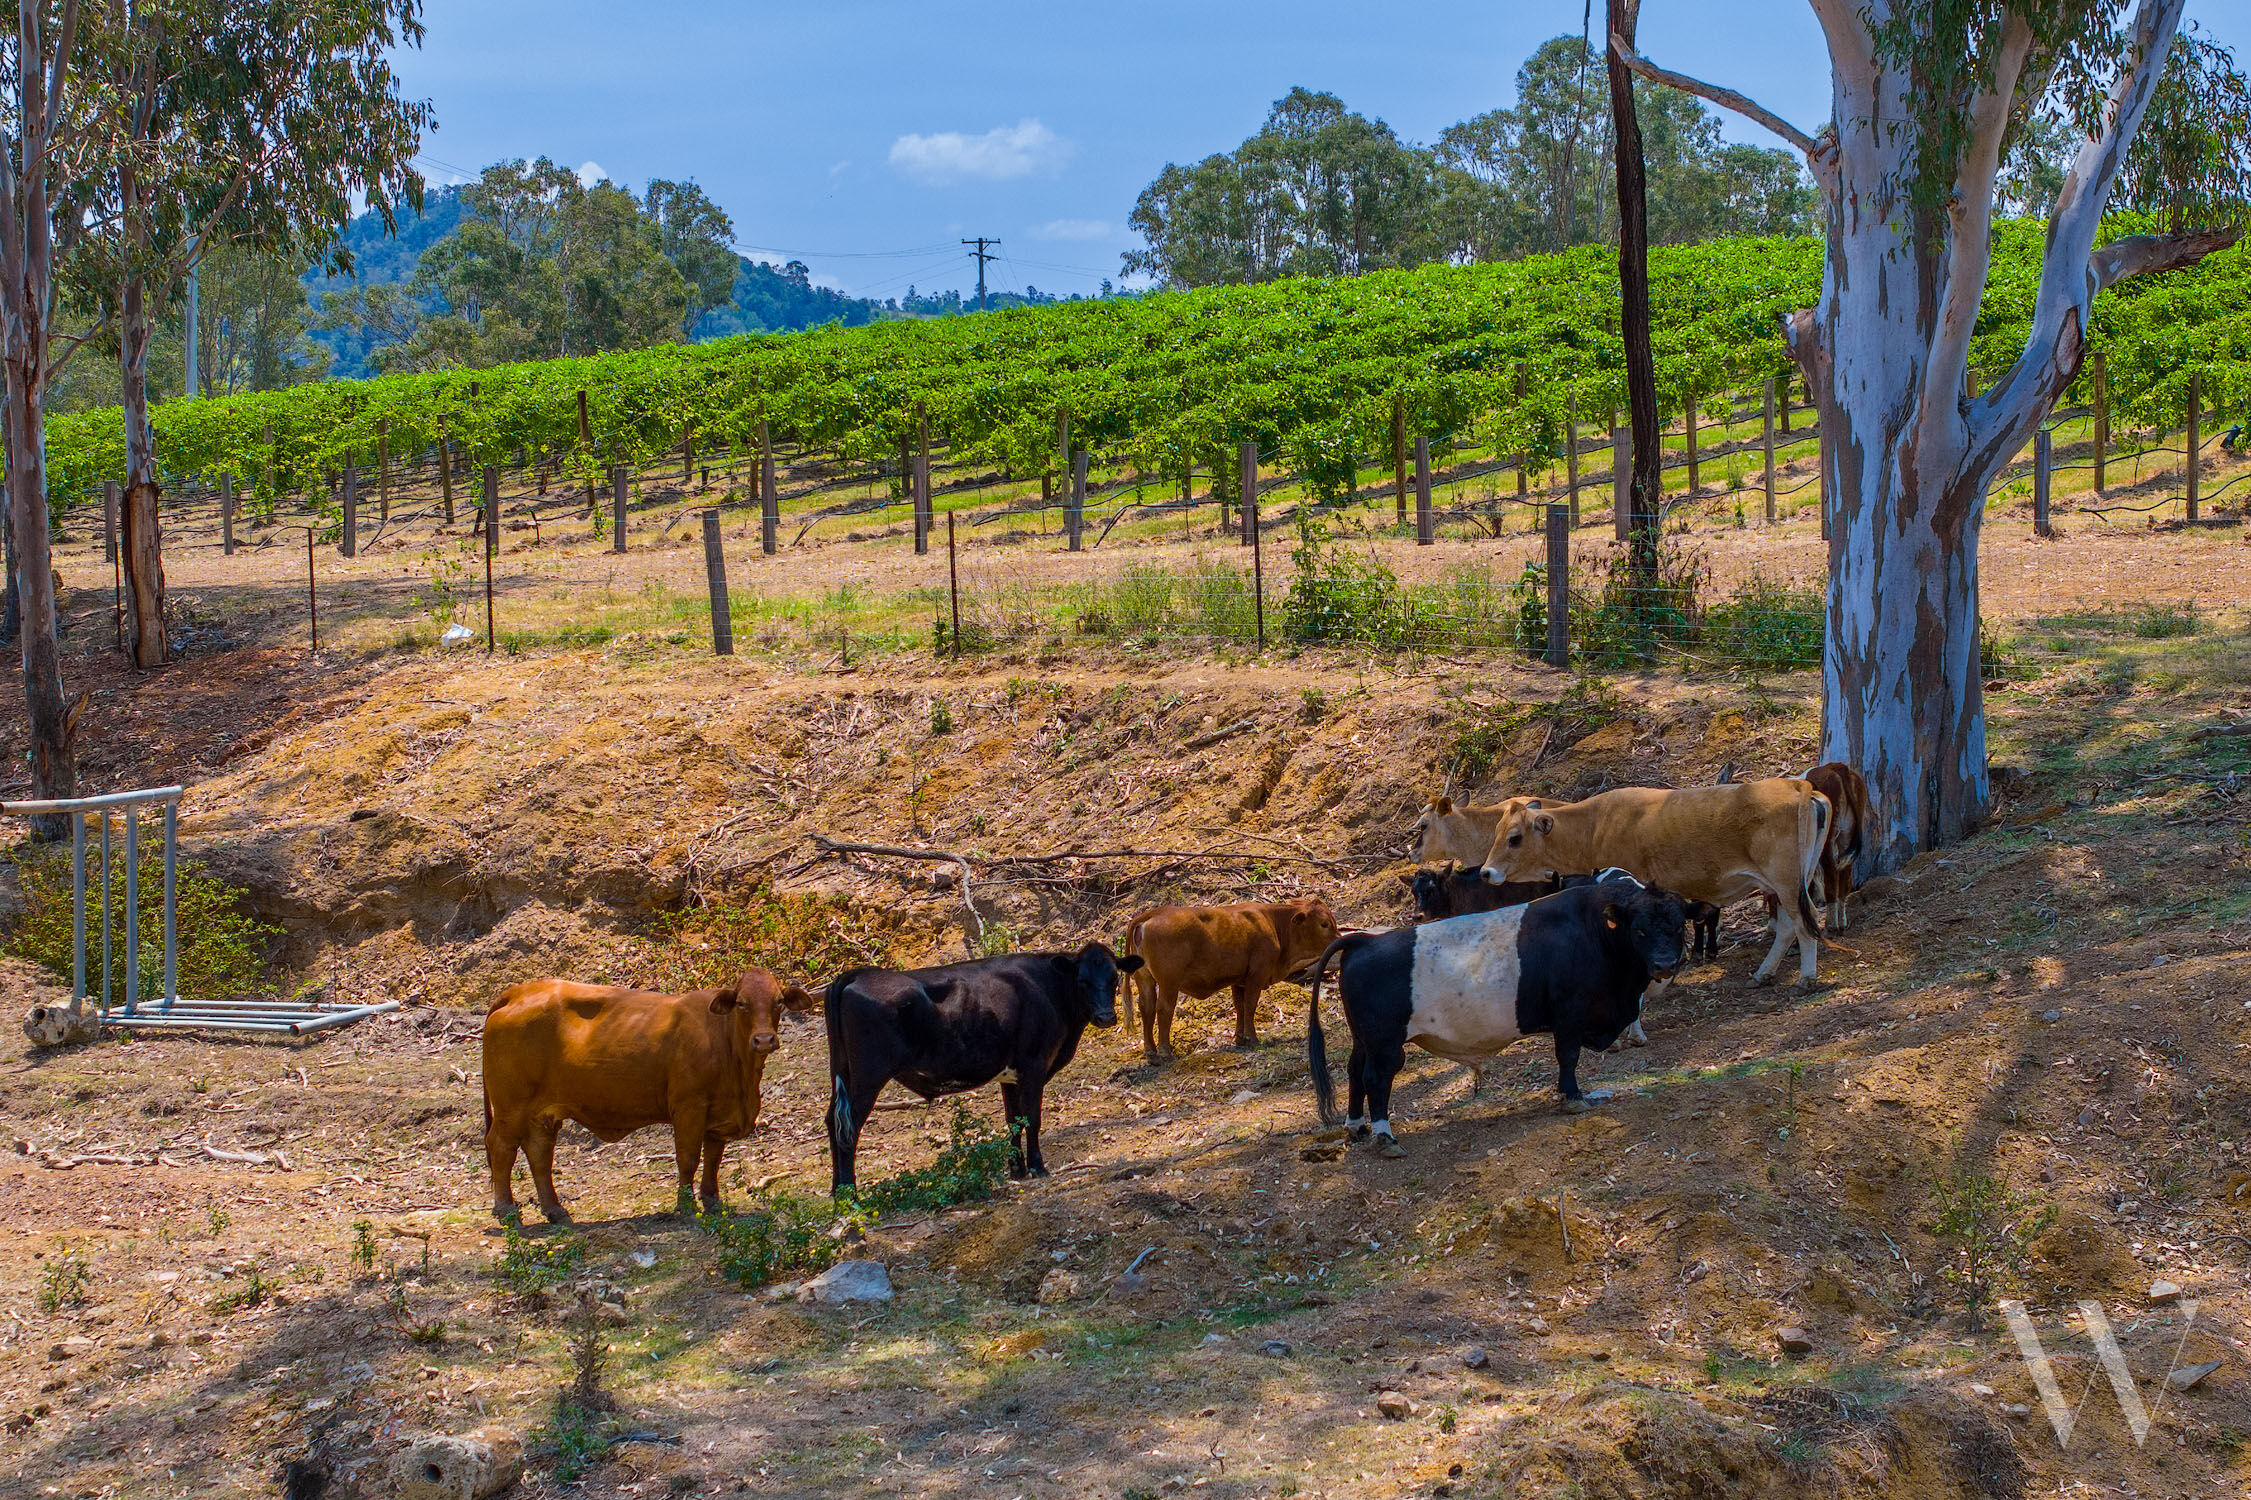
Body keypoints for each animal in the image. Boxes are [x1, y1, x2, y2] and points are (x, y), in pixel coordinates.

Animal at [481, 970, 818, 1224]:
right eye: (742, 1004)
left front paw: (712, 1201)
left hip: (542, 1114)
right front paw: (686, 1207)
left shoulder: (718, 1114)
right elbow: (688, 1159)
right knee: (501, 1147)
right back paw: (506, 1209)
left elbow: (713, 1159)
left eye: (778, 1002)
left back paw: (555, 1210)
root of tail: (520, 991)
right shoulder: (689, 1107)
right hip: (511, 1108)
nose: (764, 1040)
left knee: (539, 1155)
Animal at [823, 942, 1143, 1196]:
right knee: (849, 1126)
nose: (1105, 1017)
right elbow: (1032, 1119)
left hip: (843, 1072)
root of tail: (858, 973)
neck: (1049, 989)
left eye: (1114, 977)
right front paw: (1037, 1167)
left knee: (832, 1120)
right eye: (1083, 980)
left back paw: (838, 1193)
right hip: (869, 1075)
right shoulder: (1034, 1066)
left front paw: (1017, 1169)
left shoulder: (1011, 1075)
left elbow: (1013, 1120)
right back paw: (851, 1195)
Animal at [1121, 898, 1340, 1059]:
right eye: (1324, 924)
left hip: (1145, 979)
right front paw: (1252, 1038)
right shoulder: (1256, 976)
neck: (1273, 923)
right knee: (1164, 1009)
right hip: (1169, 983)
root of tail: (1155, 912)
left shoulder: (1239, 980)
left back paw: (1150, 1051)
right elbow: (1250, 1006)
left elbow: (1240, 1007)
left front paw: (1240, 1038)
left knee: (1146, 1007)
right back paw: (1165, 1051)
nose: (1339, 939)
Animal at [1305, 878, 1689, 1155]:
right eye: (1639, 929)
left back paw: (1357, 1127)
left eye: (1679, 927)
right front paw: (1574, 1097)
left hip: (1363, 1039)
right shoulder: (1569, 1013)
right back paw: (1385, 1136)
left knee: (1354, 1071)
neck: (1594, 931)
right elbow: (1568, 1056)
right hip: (1385, 1044)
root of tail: (1363, 941)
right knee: (1375, 1077)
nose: (1664, 964)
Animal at [1478, 779, 1830, 987]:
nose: (1485, 872)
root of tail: (1796, 785)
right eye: (1496, 833)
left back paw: (1806, 977)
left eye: (1514, 838)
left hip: (1787, 883)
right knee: (1789, 925)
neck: (1593, 827)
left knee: (1805, 923)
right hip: (1790, 884)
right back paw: (1764, 973)